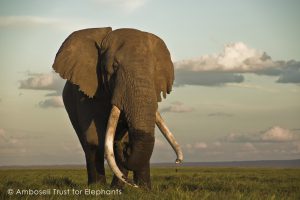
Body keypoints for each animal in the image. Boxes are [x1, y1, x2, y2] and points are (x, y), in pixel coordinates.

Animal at [52, 27, 183, 189]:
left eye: (154, 70)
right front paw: (99, 189)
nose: (177, 161)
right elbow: (94, 139)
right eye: (114, 67)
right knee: (86, 141)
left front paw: (143, 190)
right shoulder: (86, 93)